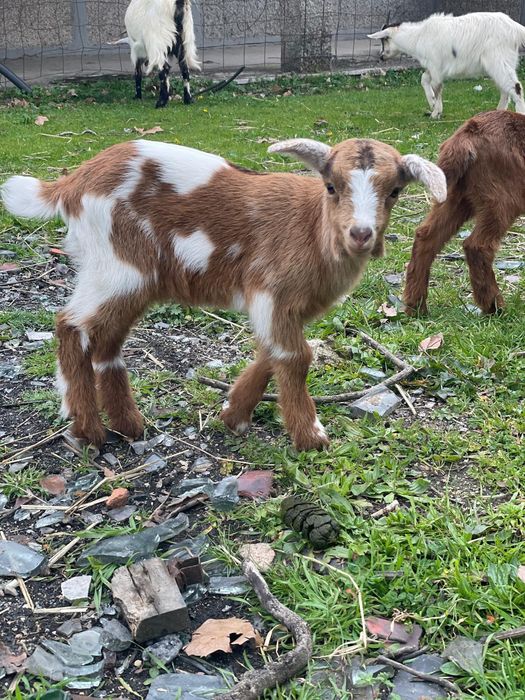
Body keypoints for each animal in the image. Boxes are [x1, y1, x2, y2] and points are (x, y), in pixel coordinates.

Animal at [1, 138, 445, 451]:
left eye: (395, 192)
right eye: (331, 186)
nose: (360, 234)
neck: (310, 228)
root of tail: (72, 183)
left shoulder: (288, 308)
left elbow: (270, 352)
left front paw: (233, 414)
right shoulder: (271, 291)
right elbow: (296, 356)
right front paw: (311, 438)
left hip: (127, 279)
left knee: (106, 341)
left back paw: (127, 425)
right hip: (117, 267)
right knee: (70, 324)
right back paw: (88, 429)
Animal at [368, 13, 525, 119]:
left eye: (384, 39)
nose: (381, 56)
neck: (418, 37)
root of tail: (516, 28)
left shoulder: (435, 65)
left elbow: (437, 87)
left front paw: (435, 113)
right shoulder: (432, 67)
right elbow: (424, 79)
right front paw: (432, 104)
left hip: (498, 59)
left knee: (515, 87)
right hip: (503, 62)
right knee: (505, 89)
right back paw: (498, 112)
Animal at [404, 110, 525, 315]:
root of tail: (464, 137)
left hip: (456, 197)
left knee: (425, 237)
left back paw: (416, 306)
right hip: (502, 199)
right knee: (477, 246)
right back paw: (494, 306)